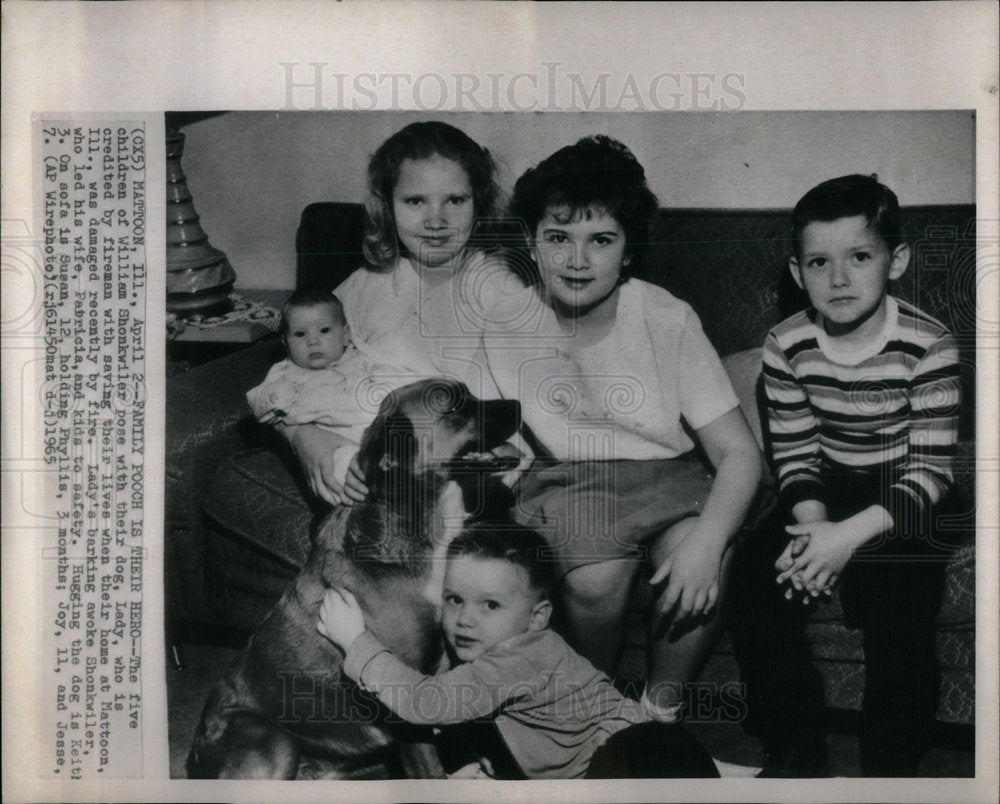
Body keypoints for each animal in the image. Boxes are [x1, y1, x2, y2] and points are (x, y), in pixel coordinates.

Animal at [183, 380, 520, 776]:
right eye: (454, 406)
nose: (518, 404)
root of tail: (196, 751)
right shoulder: (403, 697)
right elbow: (432, 768)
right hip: (275, 743)